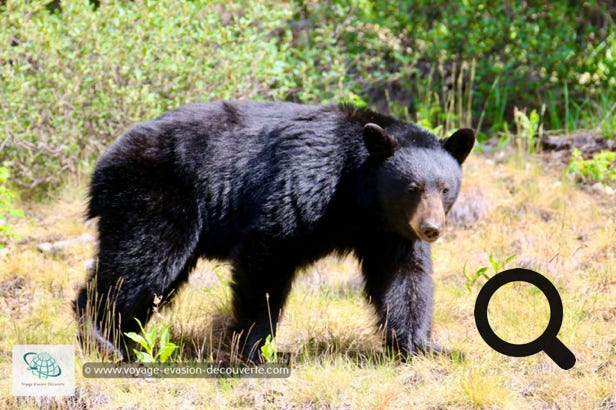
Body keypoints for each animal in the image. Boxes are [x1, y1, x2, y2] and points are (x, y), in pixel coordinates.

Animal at [74, 100, 474, 362]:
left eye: (444, 188)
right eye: (412, 187)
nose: (431, 229)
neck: (359, 196)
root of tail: (104, 161)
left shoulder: (388, 233)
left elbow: (403, 278)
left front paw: (426, 347)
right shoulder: (305, 182)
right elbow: (268, 257)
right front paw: (258, 349)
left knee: (153, 279)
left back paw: (124, 339)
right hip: (154, 195)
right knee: (141, 262)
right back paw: (102, 339)